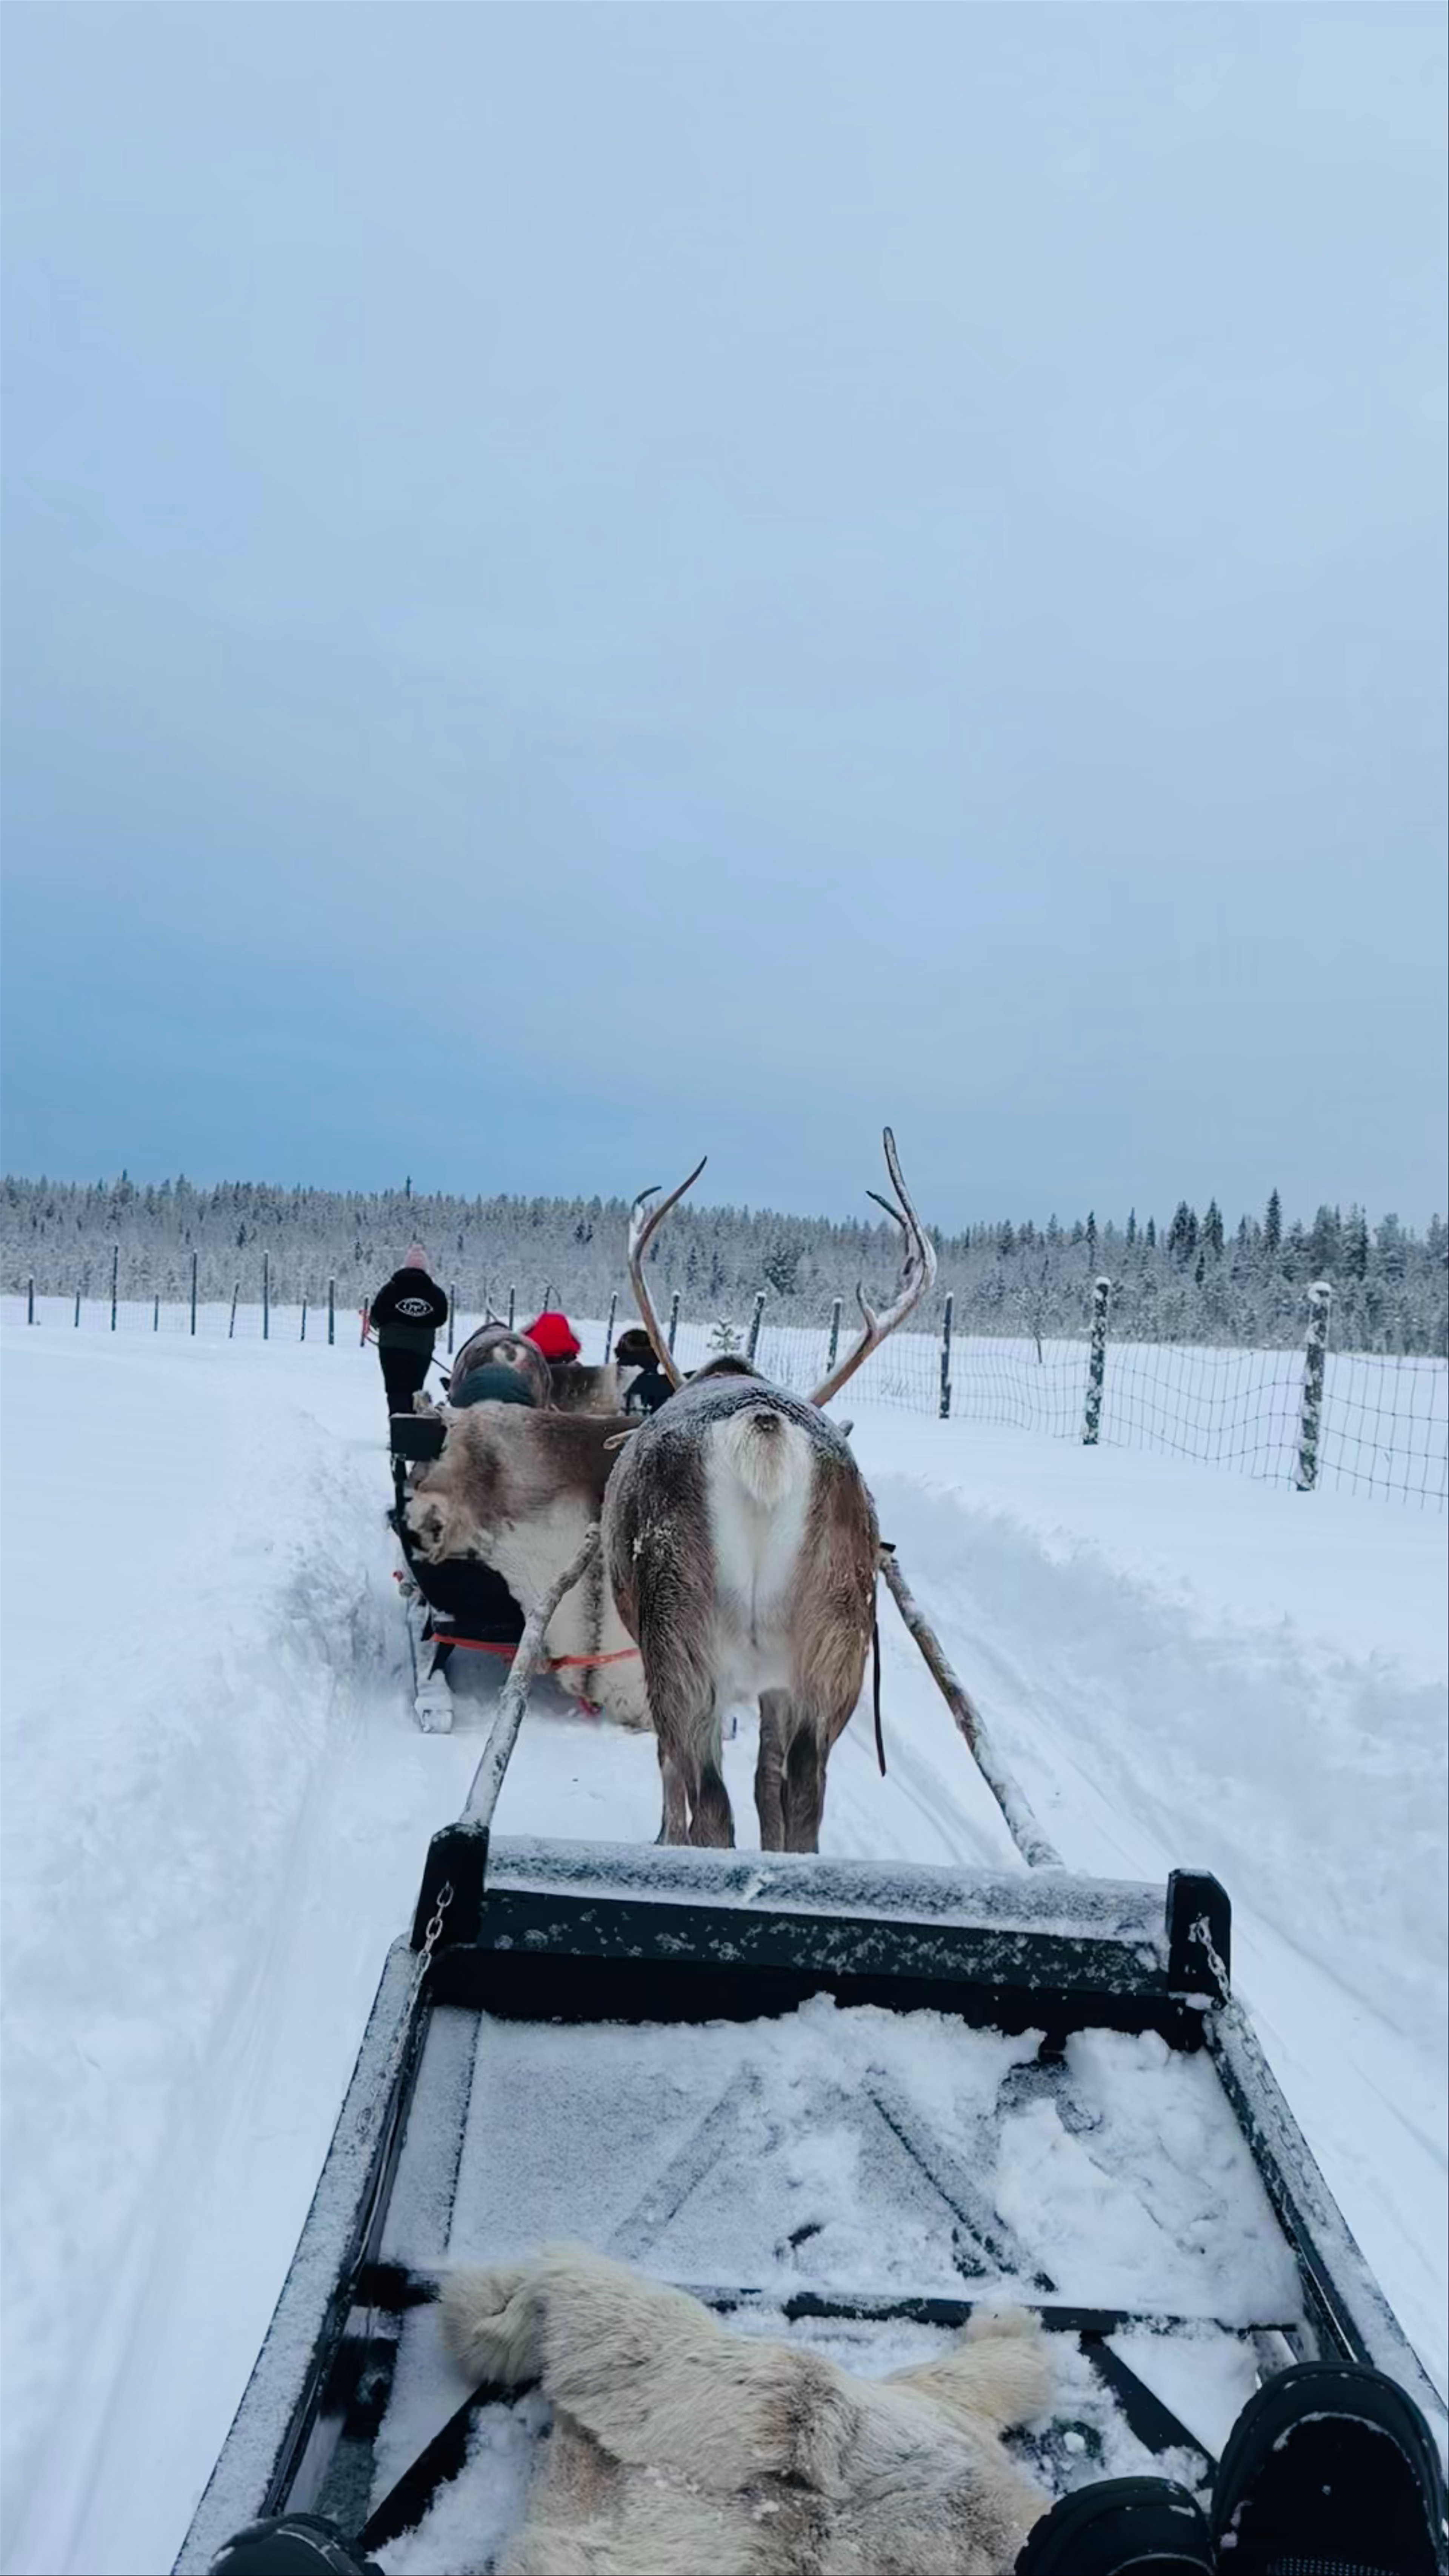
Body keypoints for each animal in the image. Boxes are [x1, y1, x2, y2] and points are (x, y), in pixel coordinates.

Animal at [601, 1130, 936, 1851]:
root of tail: (763, 1429)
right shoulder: (780, 1684)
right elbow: (770, 1782)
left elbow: (677, 1774)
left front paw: (661, 1838)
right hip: (835, 1639)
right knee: (806, 1785)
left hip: (681, 1638)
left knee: (706, 1795)